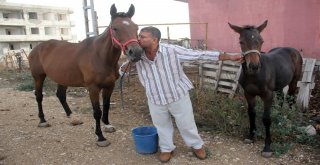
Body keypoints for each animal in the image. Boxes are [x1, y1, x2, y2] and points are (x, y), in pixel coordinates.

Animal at [28, 3, 143, 146]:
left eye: (136, 27)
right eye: (115, 28)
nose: (136, 52)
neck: (100, 57)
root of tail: (37, 47)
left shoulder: (109, 86)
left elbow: (106, 106)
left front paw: (107, 125)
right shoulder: (93, 88)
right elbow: (97, 111)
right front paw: (100, 137)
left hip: (63, 78)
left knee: (60, 95)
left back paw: (72, 117)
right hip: (38, 77)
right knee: (39, 96)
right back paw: (43, 120)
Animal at [229, 20, 302, 157]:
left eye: (261, 41)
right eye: (241, 42)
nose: (254, 66)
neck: (254, 76)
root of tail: (293, 50)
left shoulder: (267, 95)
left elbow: (266, 119)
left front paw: (267, 146)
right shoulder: (249, 94)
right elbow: (251, 113)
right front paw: (251, 136)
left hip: (294, 81)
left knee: (290, 99)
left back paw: (288, 120)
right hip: (279, 85)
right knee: (281, 98)